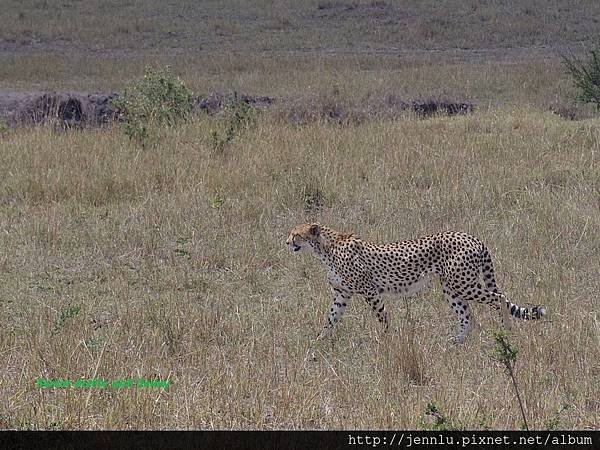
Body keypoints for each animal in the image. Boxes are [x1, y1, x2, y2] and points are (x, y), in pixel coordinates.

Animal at [288, 223, 548, 342]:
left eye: (296, 234)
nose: (286, 242)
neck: (325, 249)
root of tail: (472, 237)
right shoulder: (342, 294)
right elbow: (330, 318)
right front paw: (319, 341)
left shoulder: (370, 291)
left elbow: (382, 317)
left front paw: (387, 340)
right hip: (451, 287)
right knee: (468, 316)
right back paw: (456, 343)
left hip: (463, 284)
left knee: (499, 298)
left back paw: (507, 330)